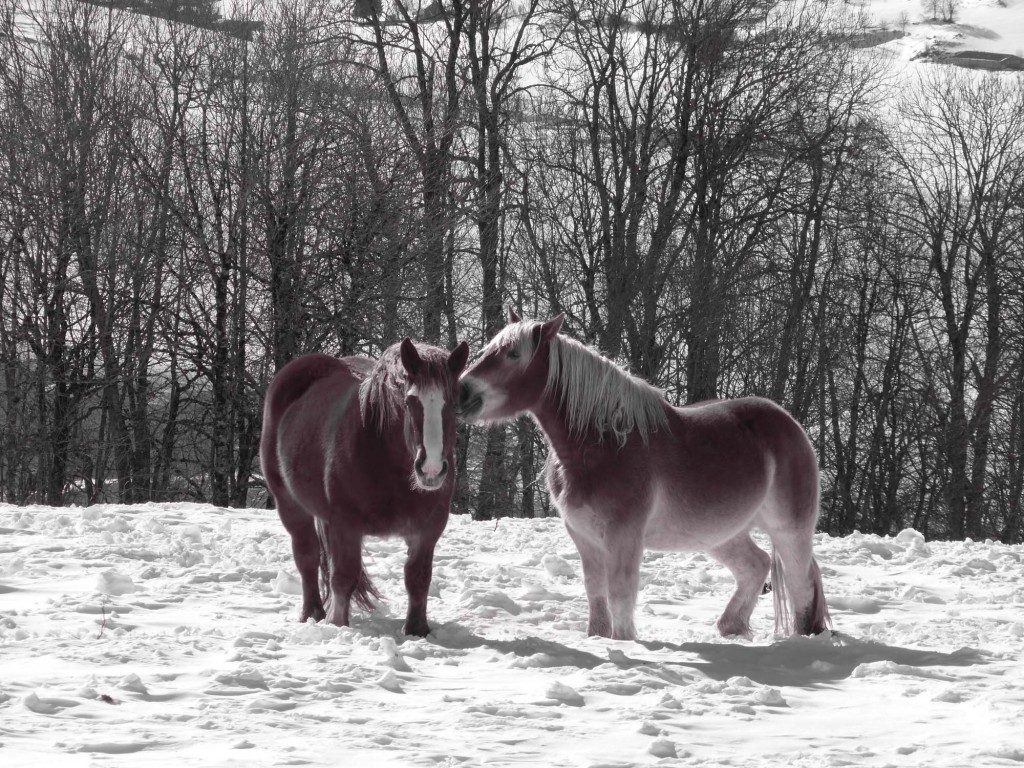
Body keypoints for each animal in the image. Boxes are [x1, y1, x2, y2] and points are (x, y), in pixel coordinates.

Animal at [264, 342, 471, 638]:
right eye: (409, 402)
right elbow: (343, 575)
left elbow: (418, 578)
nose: (431, 469)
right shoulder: (345, 525)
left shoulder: (428, 530)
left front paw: (417, 630)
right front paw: (338, 625)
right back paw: (313, 614)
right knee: (307, 558)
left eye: (453, 404)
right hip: (290, 505)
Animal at [460, 311, 827, 643]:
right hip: (721, 534)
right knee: (756, 566)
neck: (604, 442)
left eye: (513, 353)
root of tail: (789, 424)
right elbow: (595, 593)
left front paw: (624, 643)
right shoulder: (584, 536)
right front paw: (598, 639)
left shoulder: (624, 535)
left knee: (801, 584)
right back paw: (731, 628)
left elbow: (620, 593)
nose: (463, 392)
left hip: (790, 529)